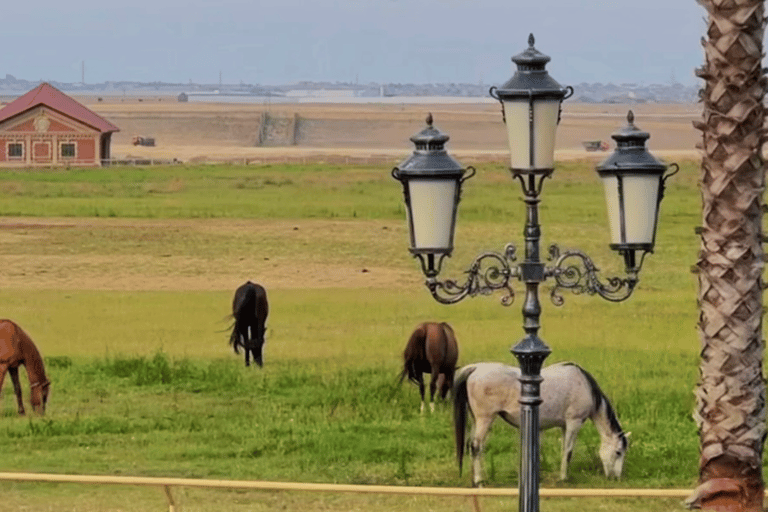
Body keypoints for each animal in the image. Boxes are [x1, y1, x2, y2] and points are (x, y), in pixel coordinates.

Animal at [452, 360, 628, 484]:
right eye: (618, 452)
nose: (616, 478)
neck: (584, 385)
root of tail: (476, 368)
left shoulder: (564, 426)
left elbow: (563, 450)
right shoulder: (574, 422)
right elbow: (568, 452)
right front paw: (564, 478)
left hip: (477, 420)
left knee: (476, 447)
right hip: (485, 418)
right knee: (476, 446)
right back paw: (479, 481)